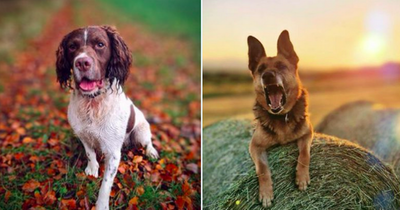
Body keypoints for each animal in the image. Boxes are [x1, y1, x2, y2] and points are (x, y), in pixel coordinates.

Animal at [55, 25, 159, 209]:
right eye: (72, 46)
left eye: (100, 44)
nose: (82, 62)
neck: (92, 102)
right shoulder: (83, 134)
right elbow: (90, 153)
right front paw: (92, 169)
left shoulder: (113, 153)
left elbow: (105, 185)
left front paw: (101, 205)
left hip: (141, 131)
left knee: (147, 142)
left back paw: (152, 152)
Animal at [247, 30, 312, 208]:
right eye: (260, 69)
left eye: (282, 66)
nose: (267, 75)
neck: (281, 116)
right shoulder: (255, 145)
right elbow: (262, 169)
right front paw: (266, 193)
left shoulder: (308, 133)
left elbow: (305, 155)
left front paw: (302, 178)